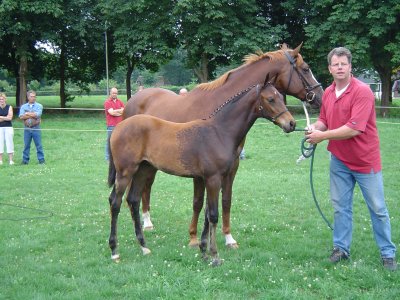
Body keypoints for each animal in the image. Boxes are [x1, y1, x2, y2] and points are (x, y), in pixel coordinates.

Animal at [108, 80, 296, 264]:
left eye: (281, 96)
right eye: (271, 99)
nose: (291, 124)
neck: (219, 132)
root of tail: (119, 127)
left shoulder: (211, 178)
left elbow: (207, 212)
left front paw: (203, 250)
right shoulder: (213, 178)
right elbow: (212, 215)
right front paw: (214, 255)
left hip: (142, 170)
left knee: (133, 200)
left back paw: (144, 247)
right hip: (125, 172)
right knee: (115, 202)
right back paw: (115, 251)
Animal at [123, 42, 324, 248]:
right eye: (306, 69)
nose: (320, 96)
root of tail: (134, 99)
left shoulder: (232, 165)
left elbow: (226, 200)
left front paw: (228, 237)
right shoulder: (201, 172)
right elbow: (198, 202)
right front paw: (194, 237)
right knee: (144, 189)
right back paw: (146, 223)